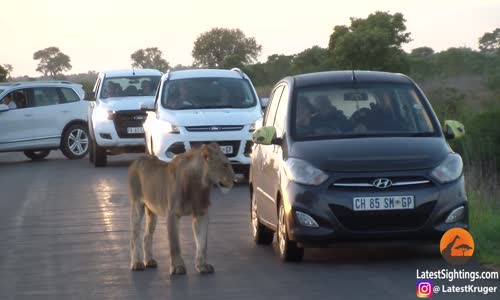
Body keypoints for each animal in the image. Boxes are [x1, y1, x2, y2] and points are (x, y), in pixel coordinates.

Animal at [128, 142, 235, 274]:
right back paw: (137, 263)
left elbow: (202, 243)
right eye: (225, 165)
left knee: (147, 235)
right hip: (137, 205)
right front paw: (178, 267)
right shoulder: (172, 214)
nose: (235, 180)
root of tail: (137, 160)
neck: (199, 184)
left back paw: (149, 261)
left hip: (152, 212)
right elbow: (175, 244)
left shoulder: (201, 213)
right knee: (135, 235)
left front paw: (202, 265)